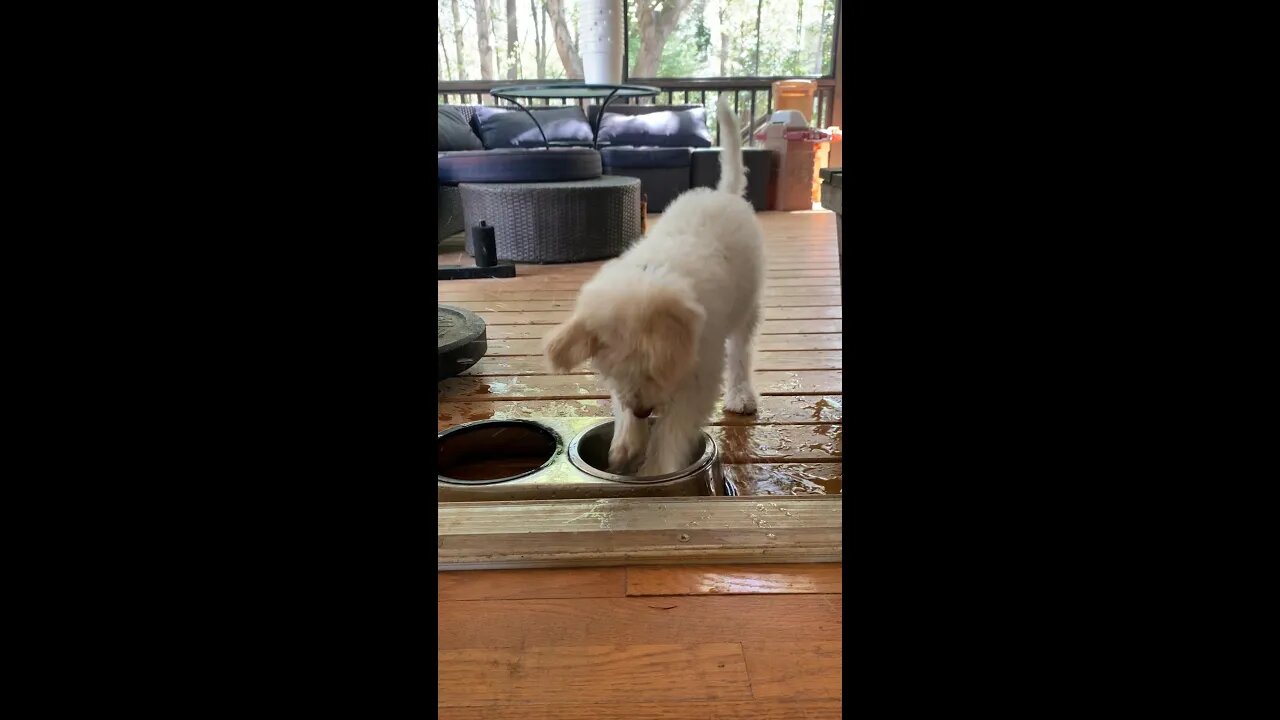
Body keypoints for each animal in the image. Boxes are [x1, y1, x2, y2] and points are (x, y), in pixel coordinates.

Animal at [545, 95, 762, 476]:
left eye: (652, 371)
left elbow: (674, 429)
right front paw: (626, 444)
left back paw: (741, 394)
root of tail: (723, 194)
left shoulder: (701, 374)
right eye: (614, 372)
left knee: (740, 352)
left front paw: (658, 470)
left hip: (745, 308)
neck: (651, 274)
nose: (644, 411)